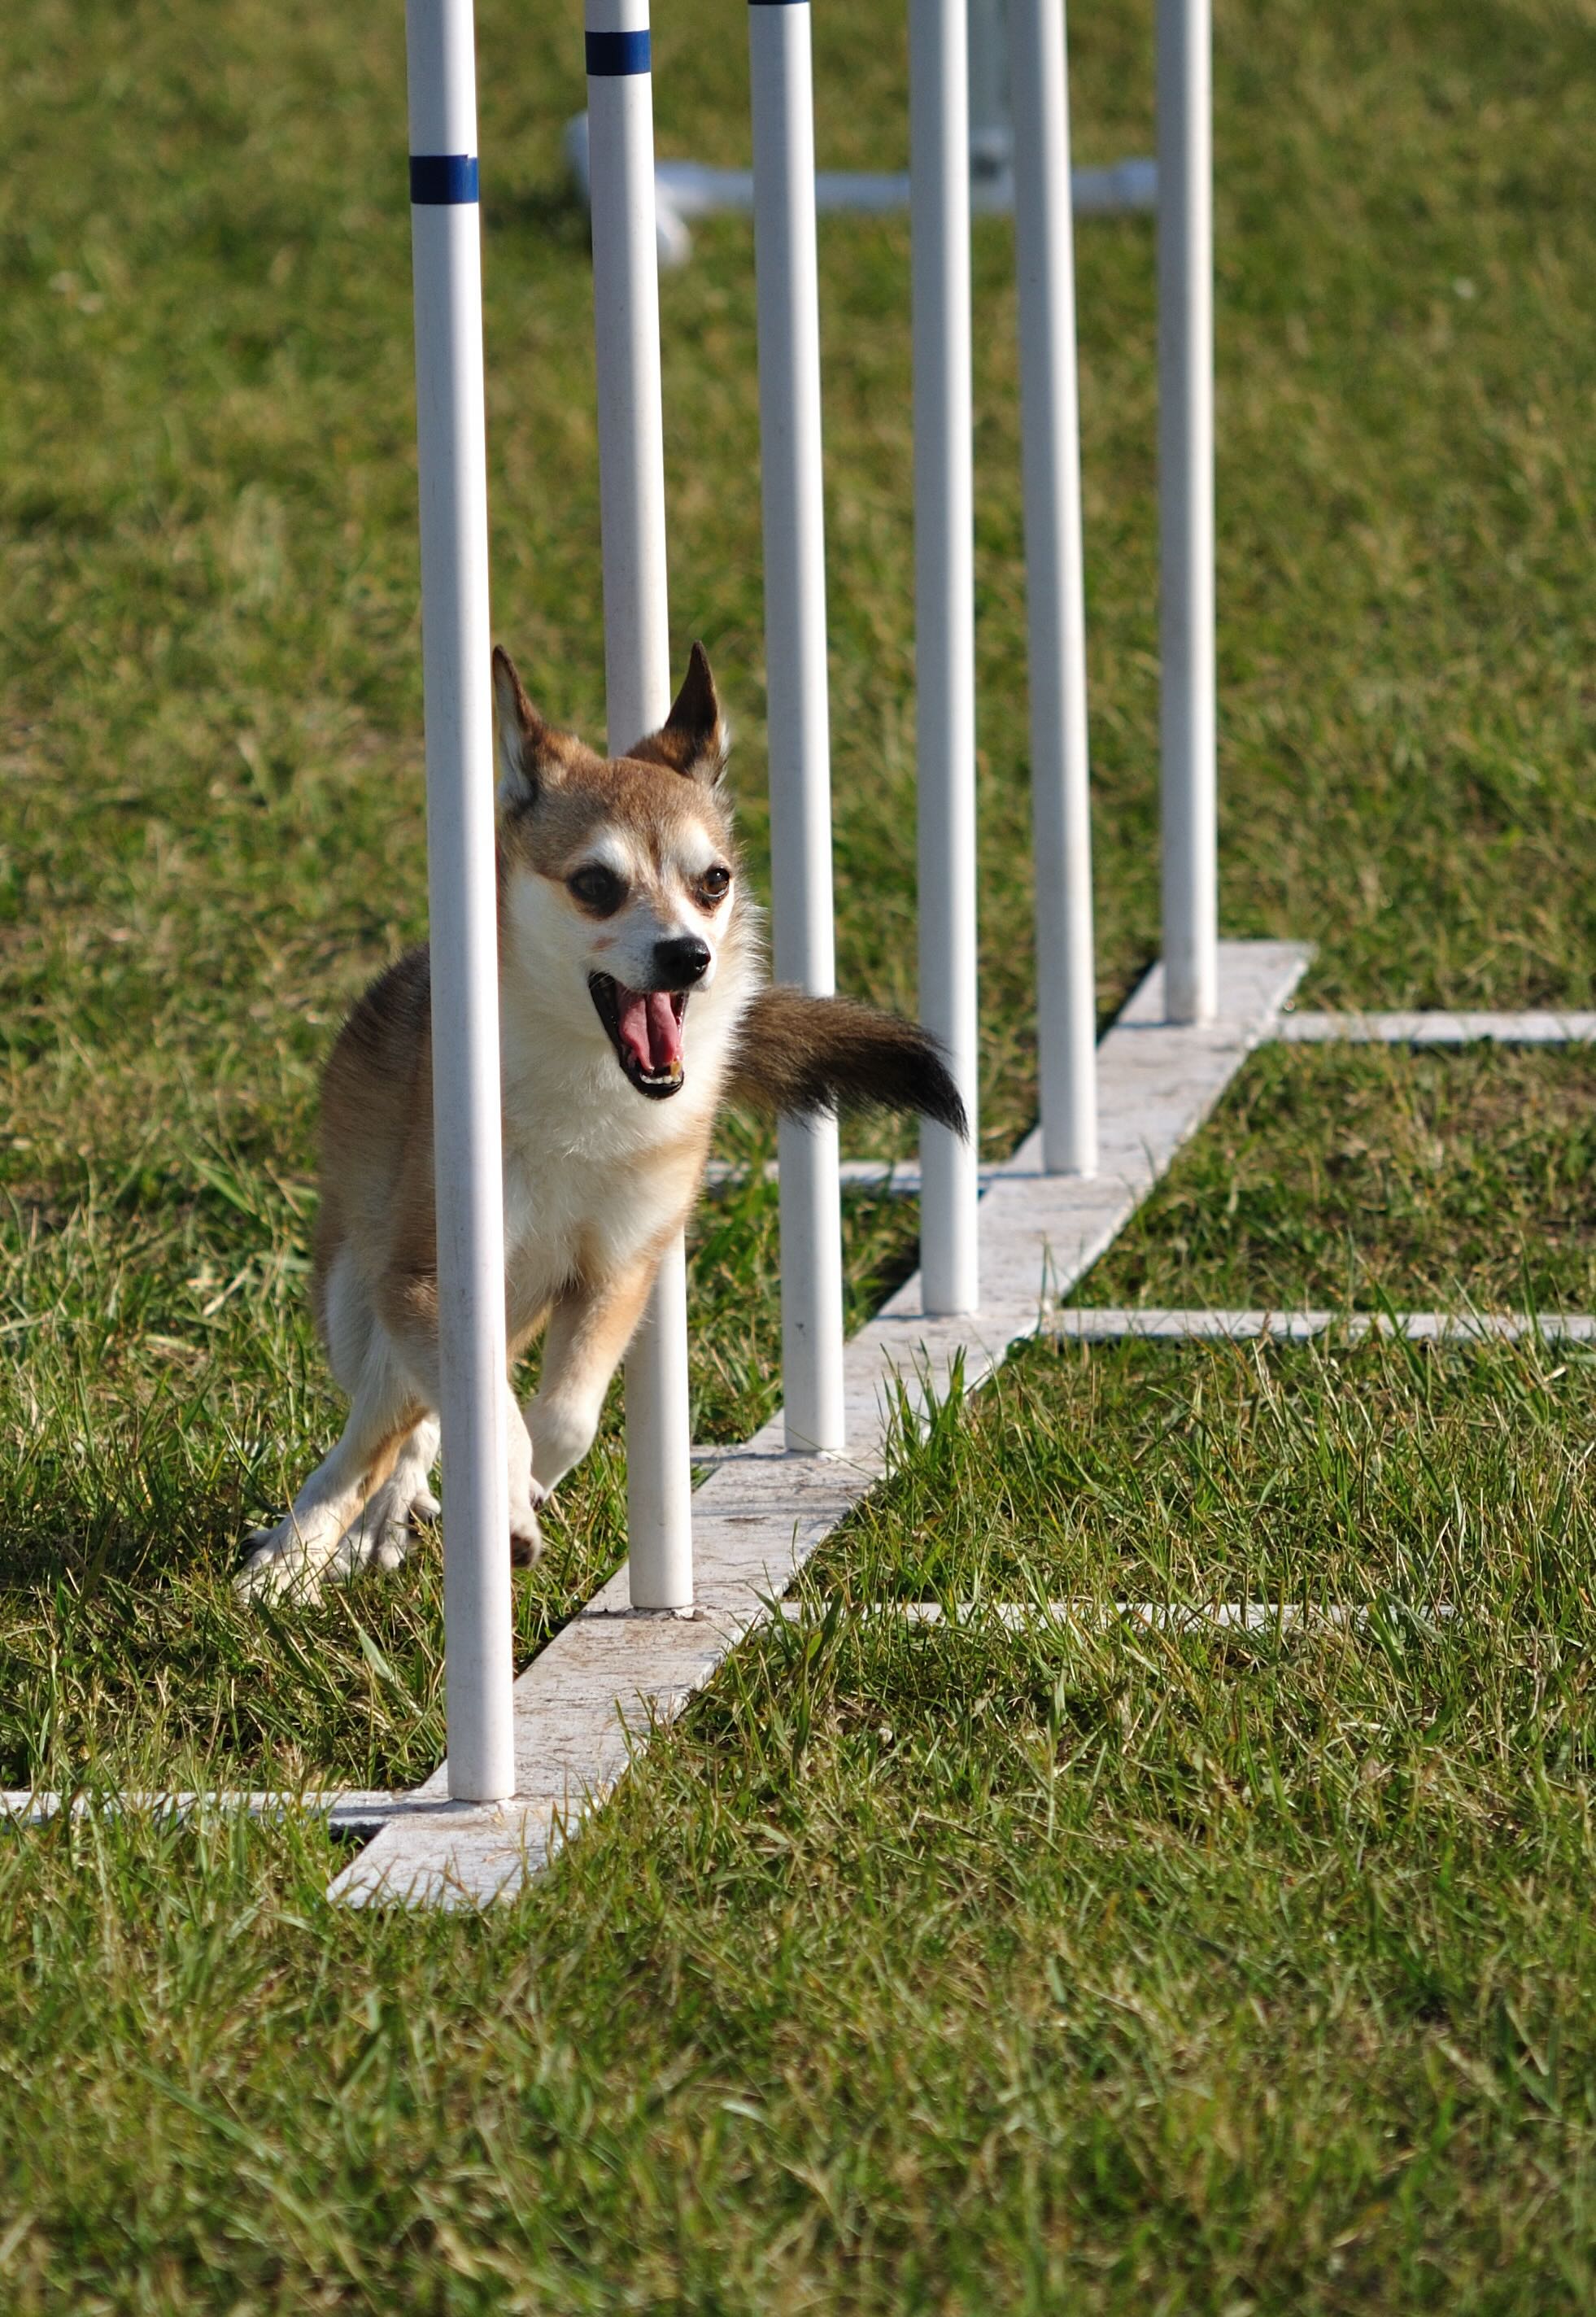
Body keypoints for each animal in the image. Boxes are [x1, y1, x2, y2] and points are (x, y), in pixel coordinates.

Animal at [236, 644, 958, 1603]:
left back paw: (391, 1519)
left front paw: (519, 1497)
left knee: (419, 1422)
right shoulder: (427, 1279)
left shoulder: (618, 1270)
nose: (689, 955)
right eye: (595, 885)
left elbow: (564, 1419)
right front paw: (494, 1507)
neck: (589, 1100)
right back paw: (297, 1554)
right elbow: (482, 1418)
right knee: (373, 1427)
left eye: (714, 881)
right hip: (361, 1292)